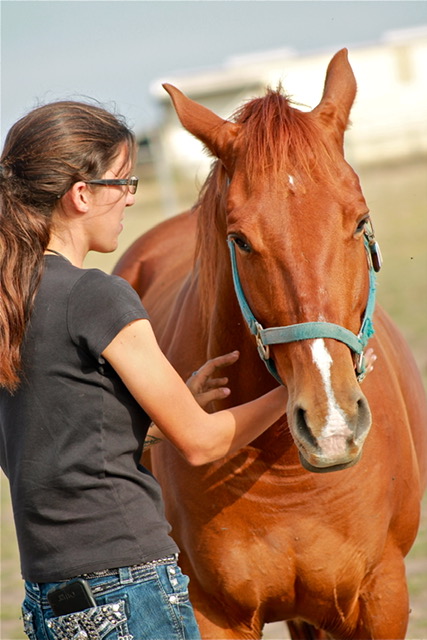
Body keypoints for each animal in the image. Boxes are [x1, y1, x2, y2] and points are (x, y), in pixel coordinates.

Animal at [113, 51, 427, 640]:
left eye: (361, 221)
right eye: (240, 240)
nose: (332, 428)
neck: (286, 475)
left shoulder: (382, 597)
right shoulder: (212, 612)